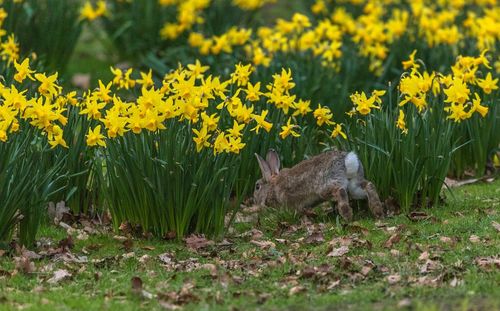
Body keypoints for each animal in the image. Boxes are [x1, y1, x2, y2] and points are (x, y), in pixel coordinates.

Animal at [256, 149, 384, 221]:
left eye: (257, 186)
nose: (256, 201)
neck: (272, 186)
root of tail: (347, 160)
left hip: (326, 188)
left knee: (340, 192)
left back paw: (347, 216)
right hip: (354, 186)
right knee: (369, 186)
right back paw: (378, 212)